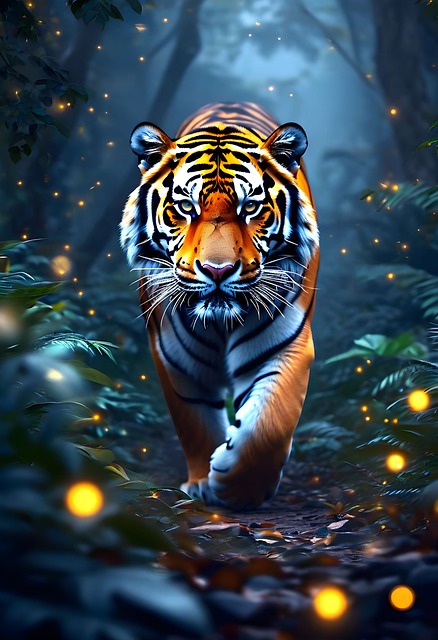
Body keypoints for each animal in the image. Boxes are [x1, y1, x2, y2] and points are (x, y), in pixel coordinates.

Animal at [120, 102, 319, 510]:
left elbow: (270, 423)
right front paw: (202, 485)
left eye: (251, 207)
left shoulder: (287, 345)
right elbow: (193, 423)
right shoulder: (174, 358)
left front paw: (237, 487)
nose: (218, 269)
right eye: (185, 206)